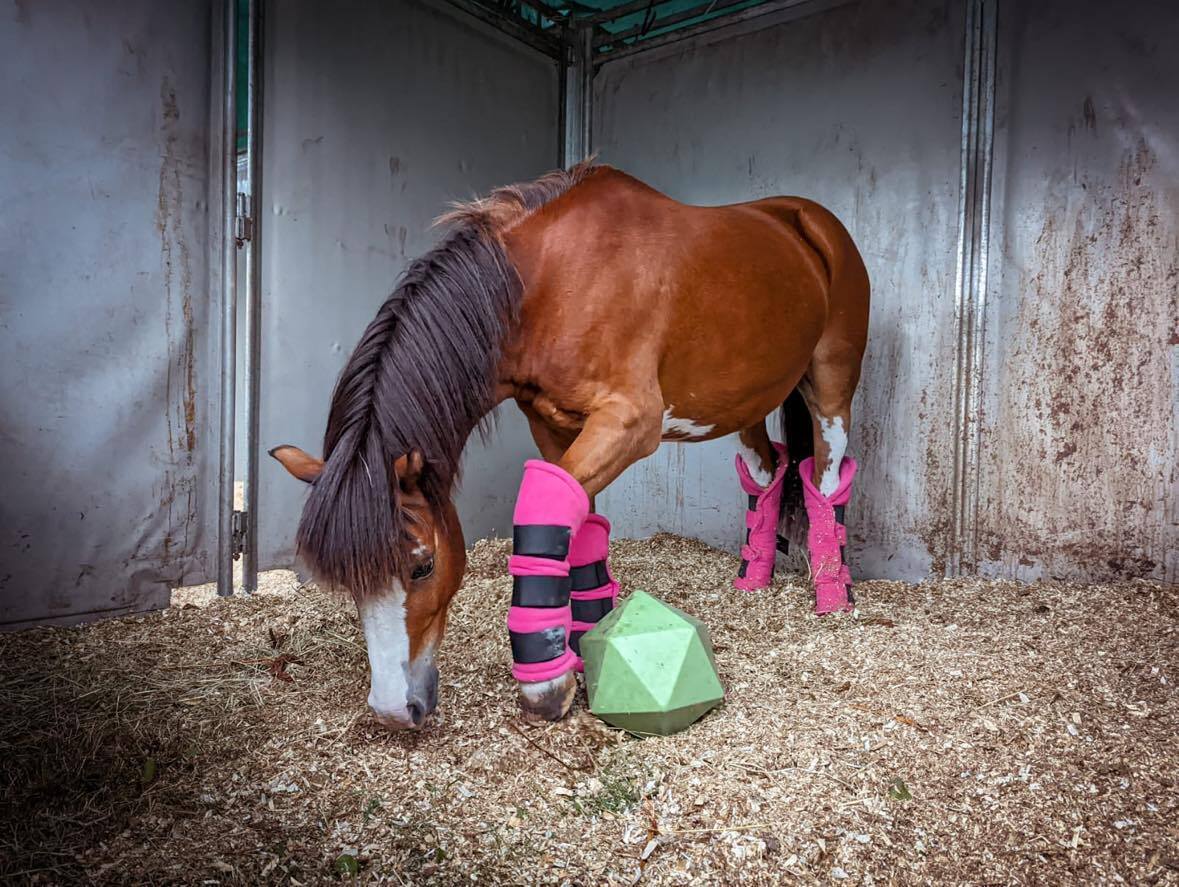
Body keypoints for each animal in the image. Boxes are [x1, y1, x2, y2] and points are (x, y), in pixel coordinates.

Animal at [271, 162, 872, 731]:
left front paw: (546, 686)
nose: (396, 709)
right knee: (767, 471)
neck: (548, 285)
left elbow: (546, 514)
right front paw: (586, 644)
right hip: (745, 401)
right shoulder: (553, 426)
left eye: (422, 566)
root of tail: (808, 219)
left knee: (825, 473)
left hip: (831, 384)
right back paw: (752, 579)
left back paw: (832, 595)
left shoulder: (629, 423)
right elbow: (574, 526)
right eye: (350, 583)